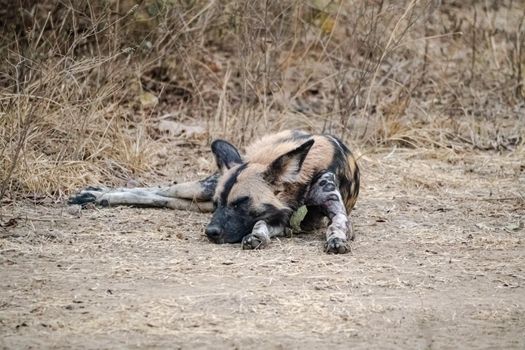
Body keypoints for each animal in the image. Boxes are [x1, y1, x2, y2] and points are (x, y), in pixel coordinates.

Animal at [69, 130, 358, 253]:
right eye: (222, 203)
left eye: (241, 203)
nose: (211, 232)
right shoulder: (280, 217)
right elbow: (262, 224)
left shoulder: (310, 216)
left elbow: (336, 225)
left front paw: (337, 240)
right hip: (203, 190)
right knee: (157, 190)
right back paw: (97, 195)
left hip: (195, 200)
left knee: (162, 198)